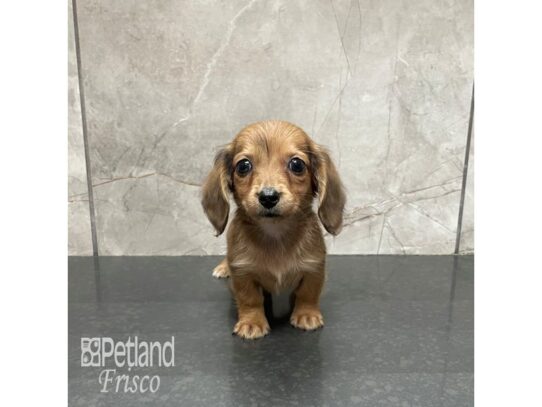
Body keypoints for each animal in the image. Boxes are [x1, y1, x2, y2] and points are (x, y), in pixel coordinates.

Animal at [202, 119, 346, 340]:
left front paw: (307, 315)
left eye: (297, 164)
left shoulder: (314, 267)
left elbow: (308, 293)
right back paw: (223, 267)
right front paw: (251, 323)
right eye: (243, 166)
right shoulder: (242, 271)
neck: (275, 233)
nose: (268, 197)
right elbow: (250, 299)